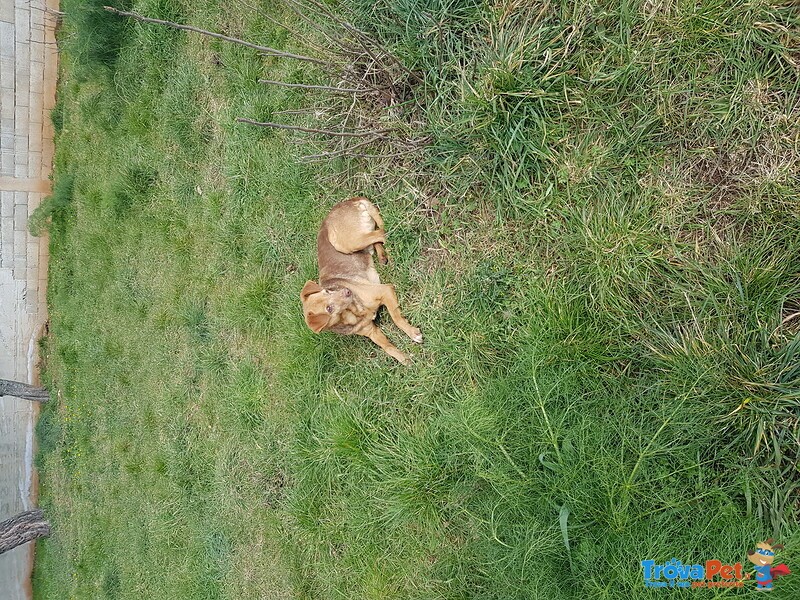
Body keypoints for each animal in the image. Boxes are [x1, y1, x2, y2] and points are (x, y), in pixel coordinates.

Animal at [302, 199, 424, 364]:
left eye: (328, 291)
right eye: (329, 308)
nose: (348, 291)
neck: (353, 314)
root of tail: (350, 200)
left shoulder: (386, 290)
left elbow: (396, 318)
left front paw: (412, 332)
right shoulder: (371, 331)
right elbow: (388, 347)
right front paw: (404, 359)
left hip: (345, 242)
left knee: (382, 233)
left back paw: (392, 253)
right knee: (378, 235)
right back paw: (383, 256)